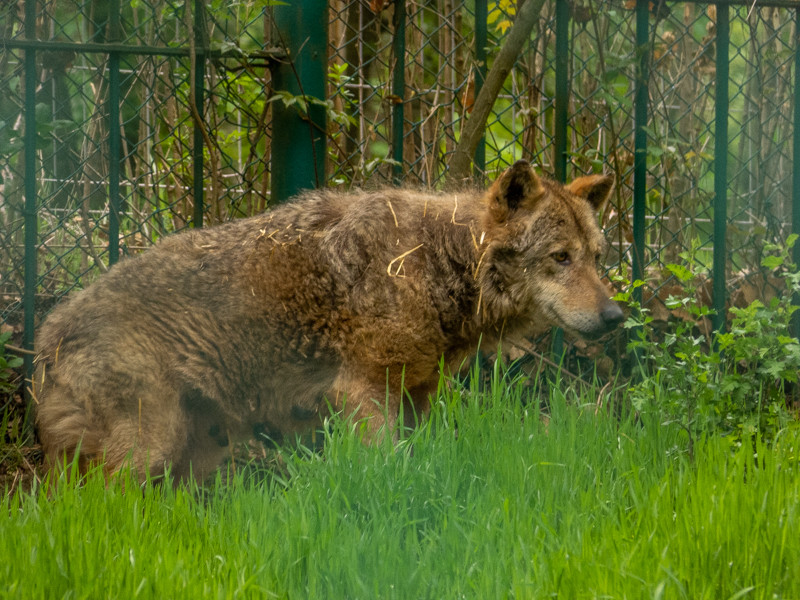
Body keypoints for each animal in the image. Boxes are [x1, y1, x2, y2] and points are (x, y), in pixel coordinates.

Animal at [34, 160, 623, 482]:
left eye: (596, 257)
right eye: (560, 258)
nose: (616, 316)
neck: (434, 260)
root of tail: (48, 334)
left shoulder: (417, 396)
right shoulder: (362, 393)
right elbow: (392, 472)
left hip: (191, 455)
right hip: (148, 451)